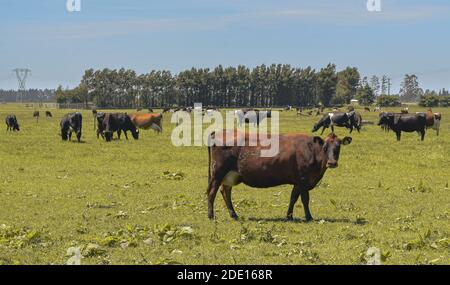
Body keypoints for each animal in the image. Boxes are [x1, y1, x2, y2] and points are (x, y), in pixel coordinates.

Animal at [207, 130, 352, 221]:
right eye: (325, 148)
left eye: (338, 147)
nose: (332, 163)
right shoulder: (303, 179)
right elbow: (305, 199)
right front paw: (309, 217)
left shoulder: (298, 182)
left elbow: (293, 198)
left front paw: (289, 216)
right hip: (217, 172)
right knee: (212, 192)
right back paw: (211, 215)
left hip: (229, 175)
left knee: (225, 191)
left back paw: (234, 215)